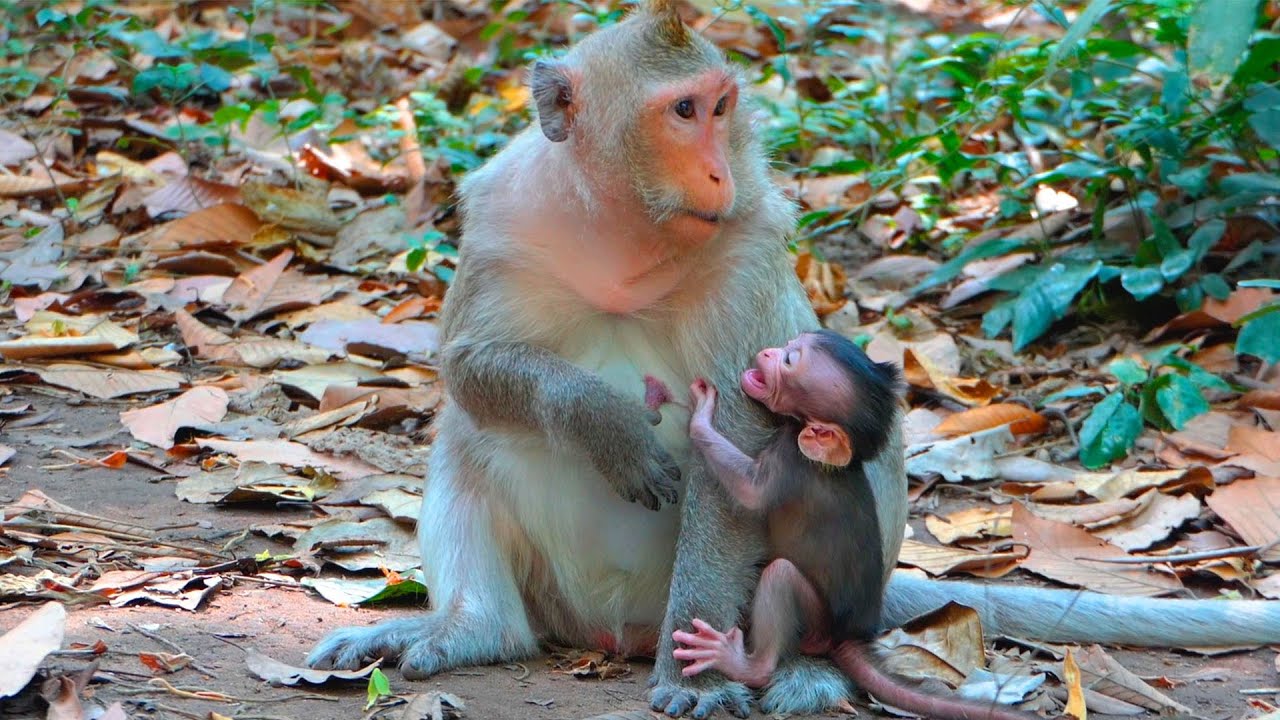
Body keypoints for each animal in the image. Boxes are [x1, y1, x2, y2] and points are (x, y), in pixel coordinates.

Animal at [670, 329, 1039, 720]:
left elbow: (750, 493)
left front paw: (701, 419)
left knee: (781, 577)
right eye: (791, 344)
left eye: (790, 360)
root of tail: (848, 635)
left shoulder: (791, 459)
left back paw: (745, 664)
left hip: (816, 624)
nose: (769, 352)